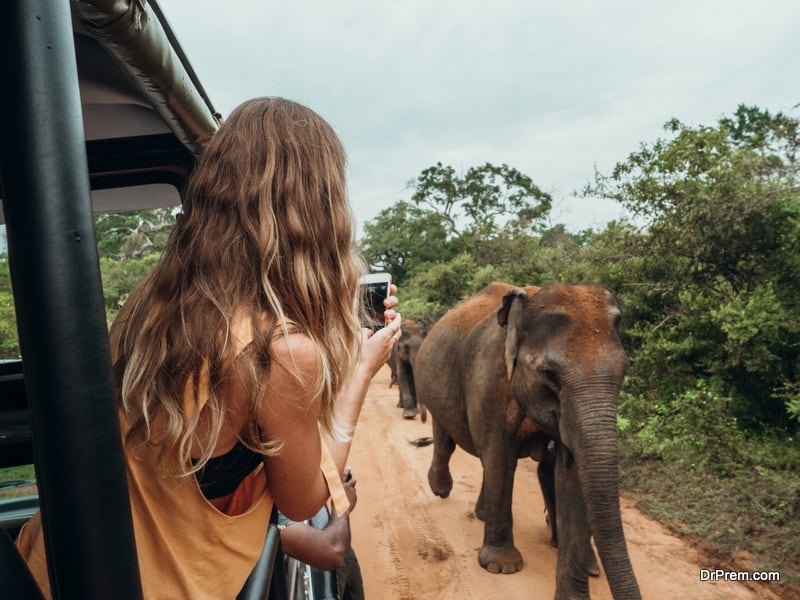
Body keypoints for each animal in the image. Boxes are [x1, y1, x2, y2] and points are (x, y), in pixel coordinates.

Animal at [416, 282, 640, 600]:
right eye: (550, 374)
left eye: (624, 371)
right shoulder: (488, 381)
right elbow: (500, 457)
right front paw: (502, 567)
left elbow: (570, 477)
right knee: (447, 439)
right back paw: (440, 488)